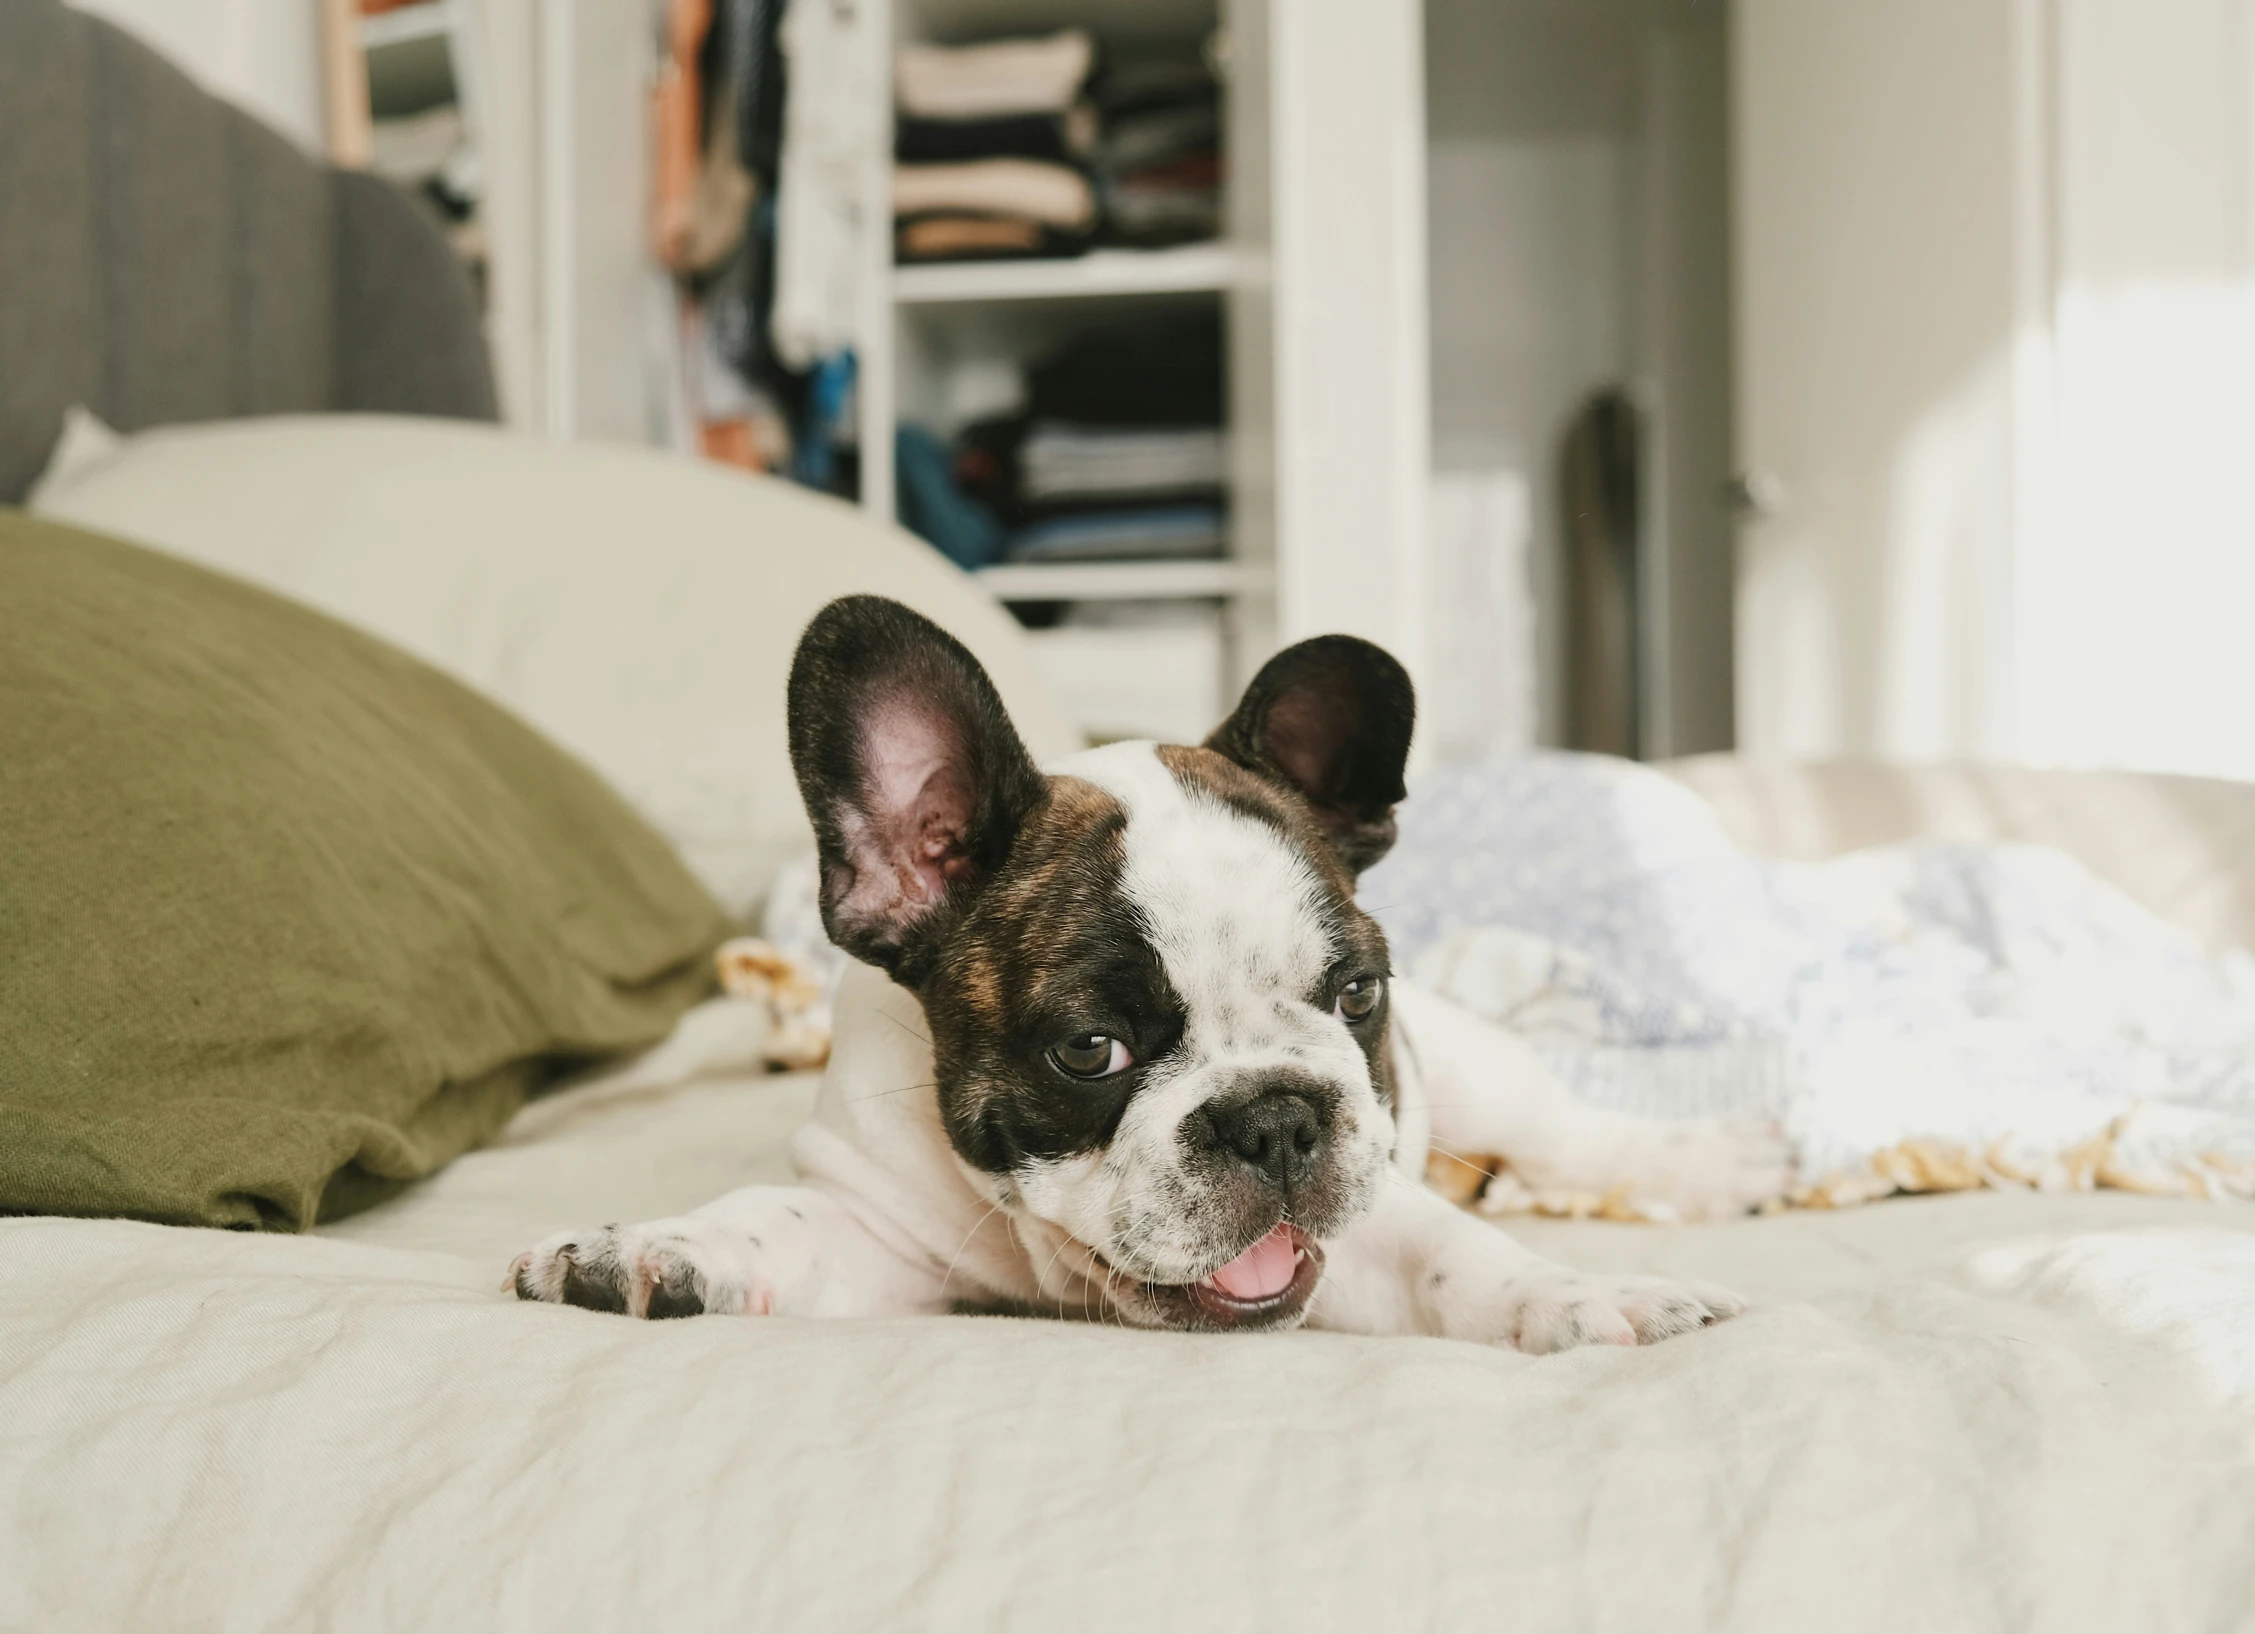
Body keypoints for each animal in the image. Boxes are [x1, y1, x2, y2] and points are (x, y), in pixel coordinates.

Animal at [502, 599, 1785, 1352]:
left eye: (1356, 995)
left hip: (1479, 1067)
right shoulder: (866, 1221)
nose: (1276, 1117)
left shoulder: (1372, 1222)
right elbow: (763, 1218)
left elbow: (1461, 1253)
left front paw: (1589, 1297)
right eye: (1089, 1049)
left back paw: (1716, 1159)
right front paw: (648, 1248)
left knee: (1567, 1130)